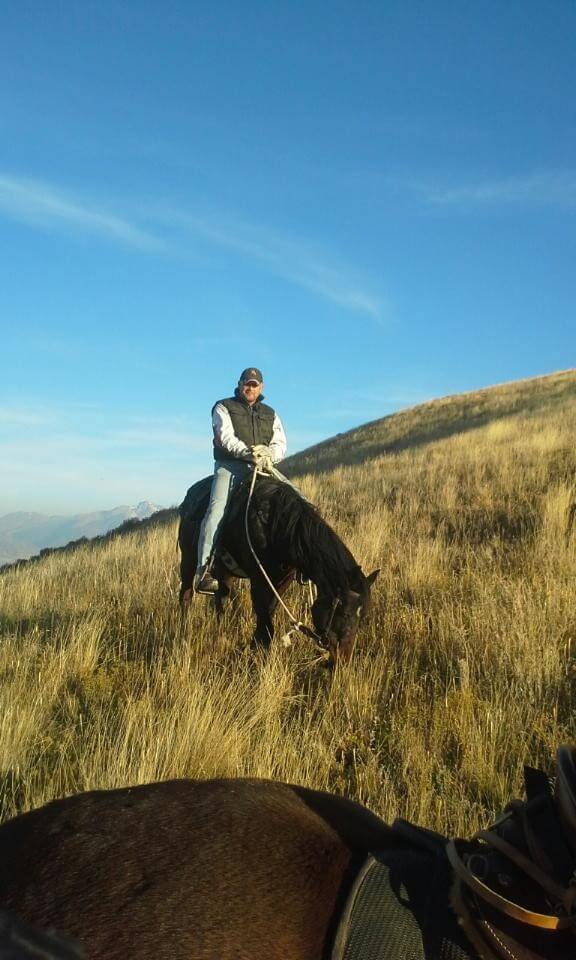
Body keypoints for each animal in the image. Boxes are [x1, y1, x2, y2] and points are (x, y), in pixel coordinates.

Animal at [178, 472, 380, 660]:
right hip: (188, 560)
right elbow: (265, 625)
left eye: (363, 617)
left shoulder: (283, 580)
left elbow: (268, 613)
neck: (274, 526)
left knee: (221, 597)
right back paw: (184, 632)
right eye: (344, 614)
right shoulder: (259, 581)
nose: (343, 659)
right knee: (186, 595)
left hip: (225, 572)